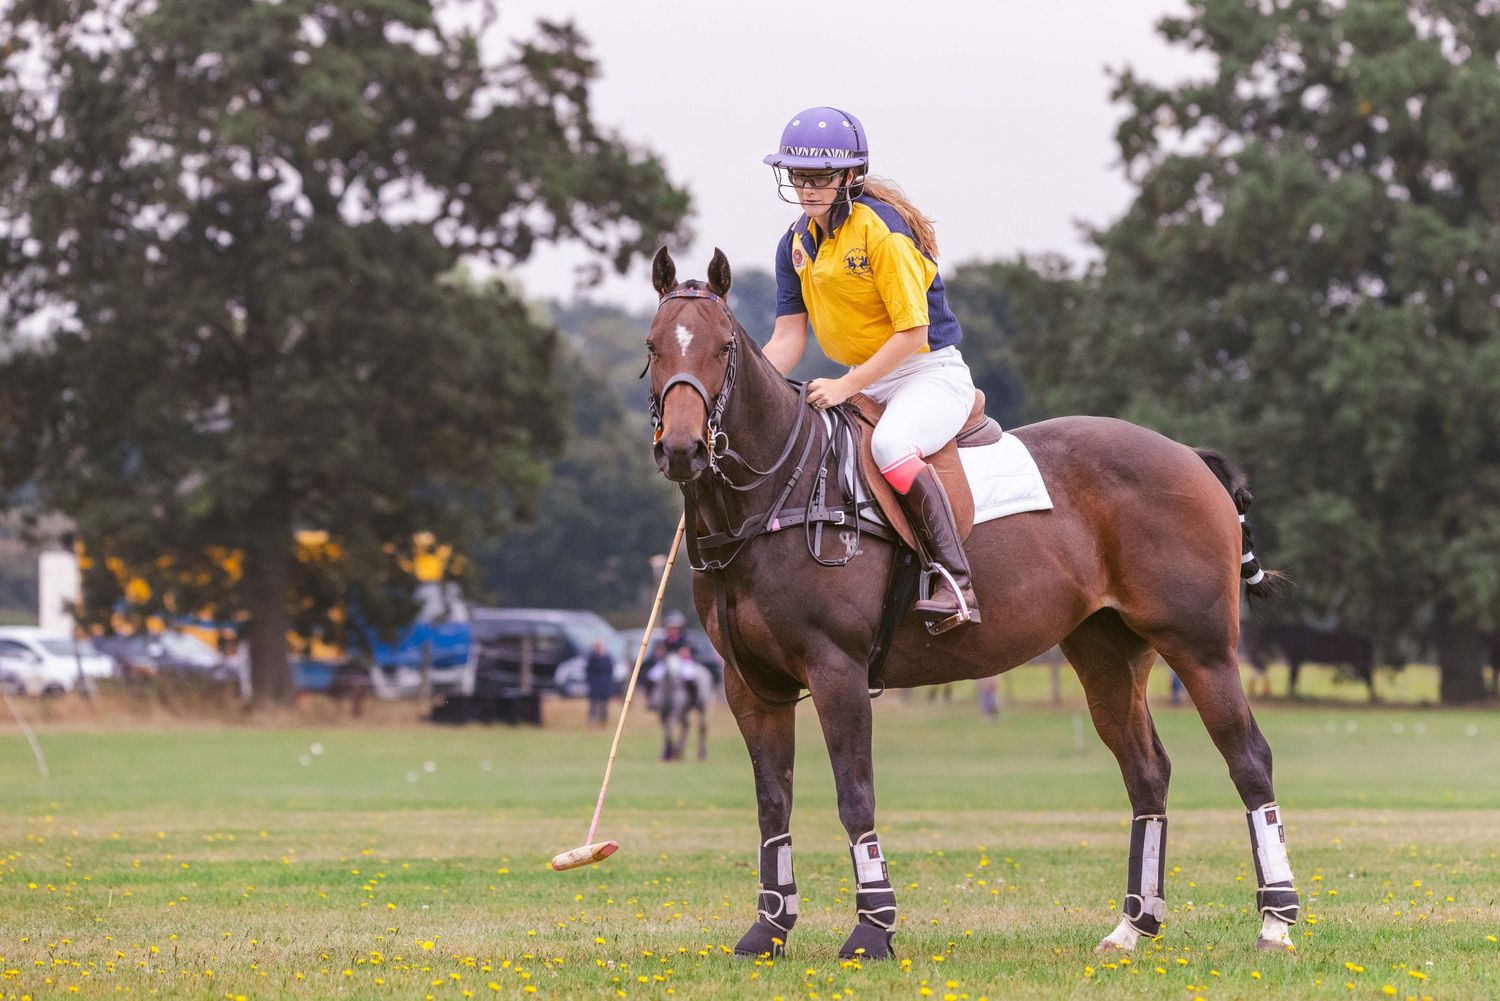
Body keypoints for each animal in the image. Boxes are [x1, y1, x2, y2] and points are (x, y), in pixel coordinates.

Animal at [644, 248, 1301, 960]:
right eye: (652, 346)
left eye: (724, 346)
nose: (682, 449)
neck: (776, 497)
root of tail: (1191, 456)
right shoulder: (750, 683)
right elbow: (773, 802)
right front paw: (768, 929)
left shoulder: (836, 668)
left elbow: (854, 794)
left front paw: (871, 931)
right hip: (1107, 652)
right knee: (1147, 770)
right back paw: (1133, 926)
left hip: (1200, 645)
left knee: (1249, 758)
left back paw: (1276, 921)